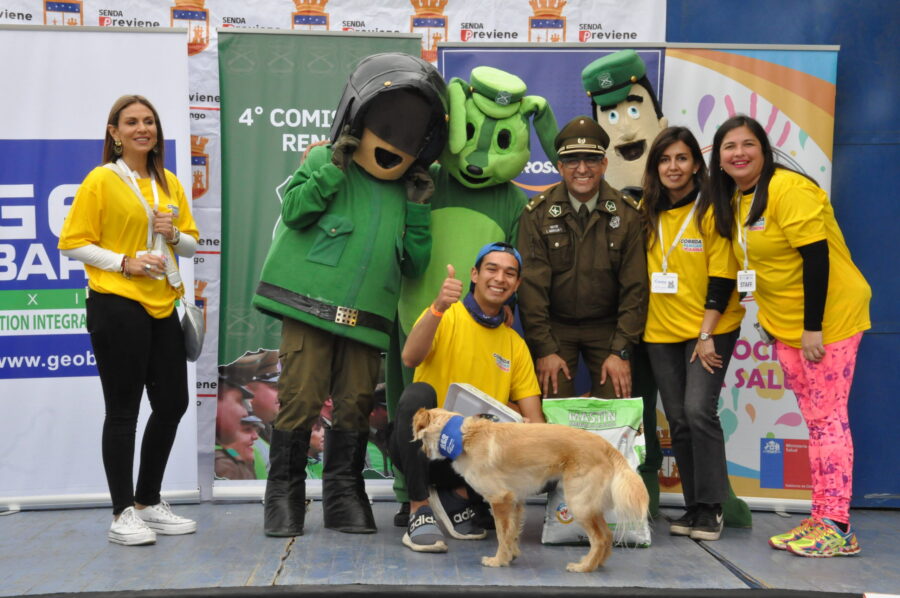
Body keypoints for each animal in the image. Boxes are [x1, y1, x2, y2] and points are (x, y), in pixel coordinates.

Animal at [412, 408, 652, 572]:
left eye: (422, 438)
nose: (421, 453)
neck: (463, 437)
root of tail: (606, 446)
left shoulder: (500, 500)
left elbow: (502, 534)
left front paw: (498, 560)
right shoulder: (515, 501)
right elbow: (512, 534)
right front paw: (510, 556)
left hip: (579, 504)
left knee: (600, 538)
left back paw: (584, 568)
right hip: (588, 506)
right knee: (608, 536)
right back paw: (594, 563)